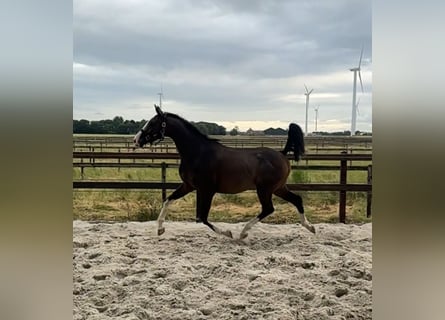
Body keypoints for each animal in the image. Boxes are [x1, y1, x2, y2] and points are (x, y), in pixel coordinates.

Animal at [134, 106, 314, 239]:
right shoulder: (189, 186)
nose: (136, 139)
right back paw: (310, 227)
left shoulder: (207, 190)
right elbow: (168, 201)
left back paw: (243, 233)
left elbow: (202, 217)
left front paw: (228, 233)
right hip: (278, 188)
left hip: (265, 189)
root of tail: (282, 154)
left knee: (268, 209)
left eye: (152, 123)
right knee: (296, 199)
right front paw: (160, 229)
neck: (197, 152)